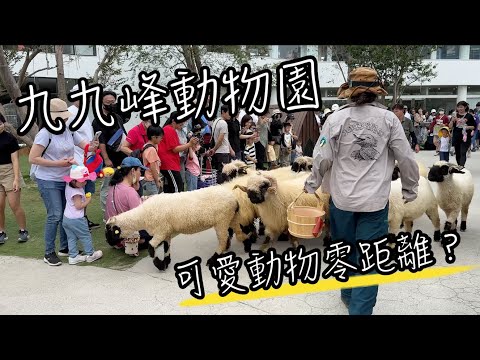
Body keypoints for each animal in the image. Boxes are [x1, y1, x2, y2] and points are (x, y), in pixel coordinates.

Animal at [105, 186, 240, 270]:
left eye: (110, 230)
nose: (108, 242)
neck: (143, 215)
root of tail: (233, 198)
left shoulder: (160, 230)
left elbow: (151, 248)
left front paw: (159, 265)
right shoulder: (166, 231)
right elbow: (166, 246)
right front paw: (166, 262)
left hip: (222, 220)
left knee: (222, 240)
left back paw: (213, 259)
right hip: (228, 219)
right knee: (228, 234)